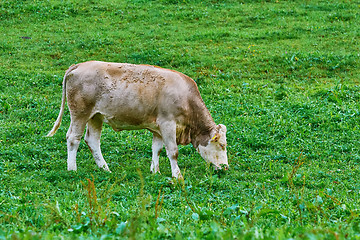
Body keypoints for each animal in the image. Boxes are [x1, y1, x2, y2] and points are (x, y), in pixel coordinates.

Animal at [47, 61, 228, 178]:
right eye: (222, 145)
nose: (226, 167)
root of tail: (79, 65)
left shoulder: (158, 128)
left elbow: (157, 149)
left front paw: (155, 171)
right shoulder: (167, 124)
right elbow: (173, 151)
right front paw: (177, 176)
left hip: (95, 116)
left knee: (92, 141)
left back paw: (105, 168)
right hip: (80, 113)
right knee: (73, 138)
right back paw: (72, 169)